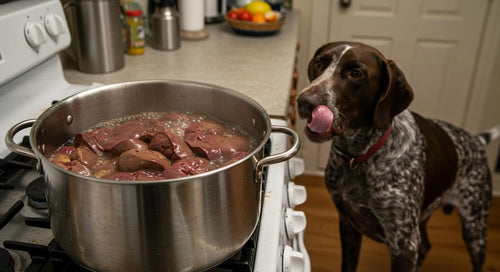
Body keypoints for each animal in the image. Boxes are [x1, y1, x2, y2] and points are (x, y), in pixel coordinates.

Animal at [296, 41, 500, 272]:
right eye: (319, 63)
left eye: (356, 73)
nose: (305, 101)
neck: (361, 155)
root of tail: (476, 140)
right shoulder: (349, 225)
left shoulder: (404, 245)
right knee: (426, 246)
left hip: (474, 227)